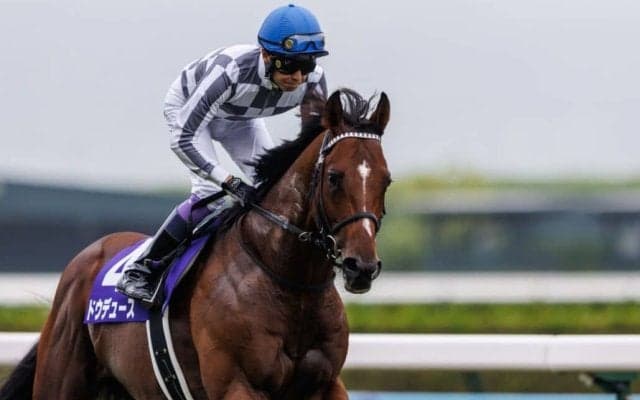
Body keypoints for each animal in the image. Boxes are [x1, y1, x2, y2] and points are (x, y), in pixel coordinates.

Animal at [0, 88, 391, 399]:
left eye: (386, 180)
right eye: (335, 177)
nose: (362, 267)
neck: (289, 282)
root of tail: (89, 255)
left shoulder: (326, 384)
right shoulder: (237, 384)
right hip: (60, 379)